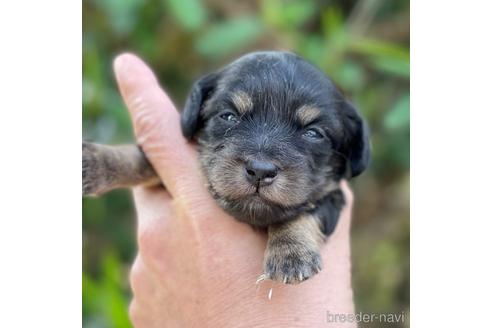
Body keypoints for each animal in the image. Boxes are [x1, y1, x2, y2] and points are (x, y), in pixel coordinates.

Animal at [83, 51, 368, 284]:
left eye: (313, 133)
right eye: (229, 116)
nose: (260, 171)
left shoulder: (334, 197)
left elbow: (303, 213)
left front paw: (291, 253)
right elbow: (141, 159)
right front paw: (97, 162)